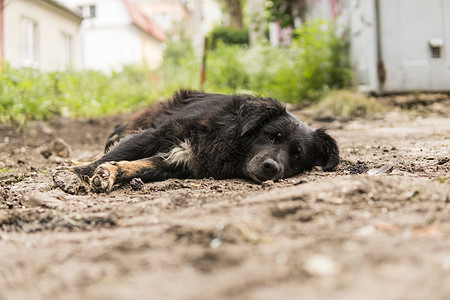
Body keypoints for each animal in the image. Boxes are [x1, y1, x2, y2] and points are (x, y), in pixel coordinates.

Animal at [52, 89, 340, 193]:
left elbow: (134, 166)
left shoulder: (179, 163)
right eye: (271, 136)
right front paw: (72, 174)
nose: (272, 167)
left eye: (297, 155)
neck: (226, 139)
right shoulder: (157, 134)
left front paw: (110, 173)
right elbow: (110, 156)